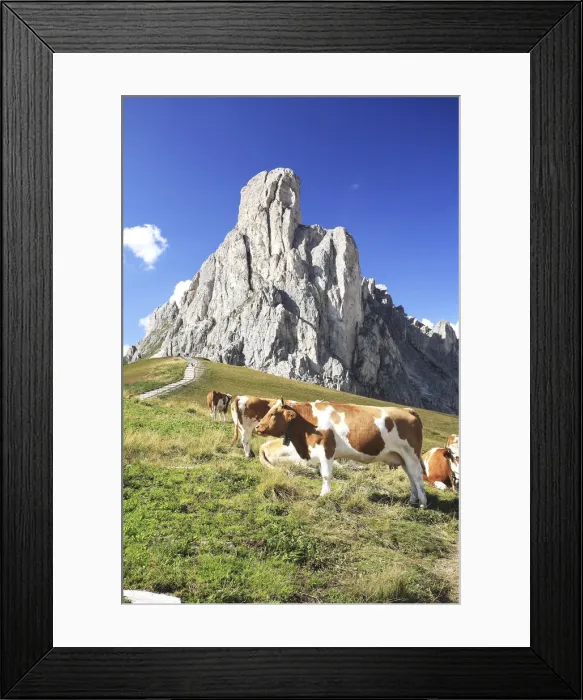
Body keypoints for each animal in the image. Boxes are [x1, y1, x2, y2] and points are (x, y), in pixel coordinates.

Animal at [254, 398, 427, 507]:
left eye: (272, 414)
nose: (257, 427)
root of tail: (407, 410)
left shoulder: (327, 450)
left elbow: (326, 475)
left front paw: (324, 495)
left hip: (411, 454)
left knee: (417, 476)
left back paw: (423, 503)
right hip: (403, 458)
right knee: (411, 477)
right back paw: (413, 500)